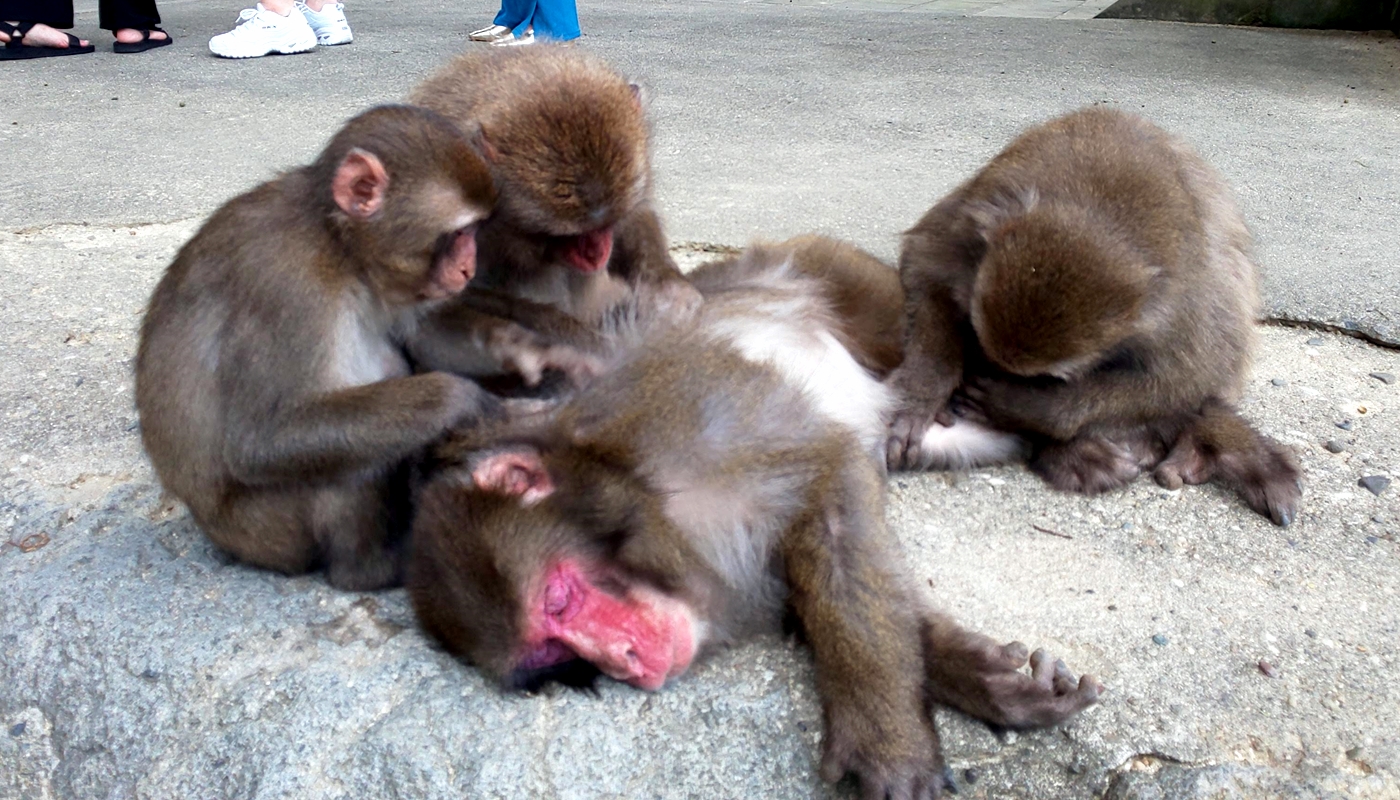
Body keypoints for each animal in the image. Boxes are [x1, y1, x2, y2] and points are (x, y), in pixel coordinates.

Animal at [136, 102, 579, 591]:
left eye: (477, 231)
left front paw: (528, 349)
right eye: (460, 232)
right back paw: (372, 567)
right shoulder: (284, 284)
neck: (341, 245)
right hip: (265, 528)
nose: (468, 269)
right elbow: (262, 437)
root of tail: (209, 527)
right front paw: (462, 401)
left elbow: (420, 335)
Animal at [411, 45, 700, 383]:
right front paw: (574, 342)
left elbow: (638, 214)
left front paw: (670, 293)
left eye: (607, 224)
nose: (596, 253)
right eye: (566, 236)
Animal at [884, 109, 1299, 529]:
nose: (986, 372)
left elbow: (1188, 378)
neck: (1097, 215)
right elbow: (925, 268)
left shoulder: (1177, 313)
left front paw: (1029, 409)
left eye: (1044, 381)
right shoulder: (971, 221)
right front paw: (920, 393)